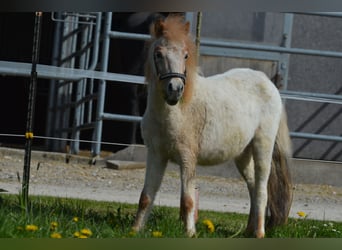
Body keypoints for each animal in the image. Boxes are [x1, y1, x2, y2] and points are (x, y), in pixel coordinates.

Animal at [132, 15, 292, 238]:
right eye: (158, 54)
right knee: (252, 187)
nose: (175, 89)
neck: (175, 111)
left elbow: (188, 200)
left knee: (261, 190)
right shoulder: (156, 155)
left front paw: (190, 233)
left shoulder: (187, 158)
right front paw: (135, 230)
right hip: (243, 154)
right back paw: (248, 230)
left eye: (186, 55)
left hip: (263, 146)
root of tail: (267, 82)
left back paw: (259, 233)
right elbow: (146, 196)